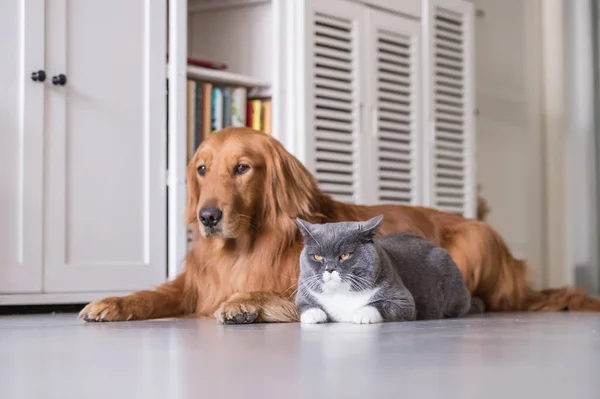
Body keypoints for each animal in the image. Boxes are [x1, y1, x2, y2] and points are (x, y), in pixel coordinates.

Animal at [292, 216, 486, 324]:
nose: (330, 268)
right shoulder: (303, 292)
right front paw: (313, 315)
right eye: (317, 257)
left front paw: (363, 315)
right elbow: (303, 306)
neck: (341, 296)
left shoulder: (403, 300)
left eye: (345, 255)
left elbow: (381, 304)